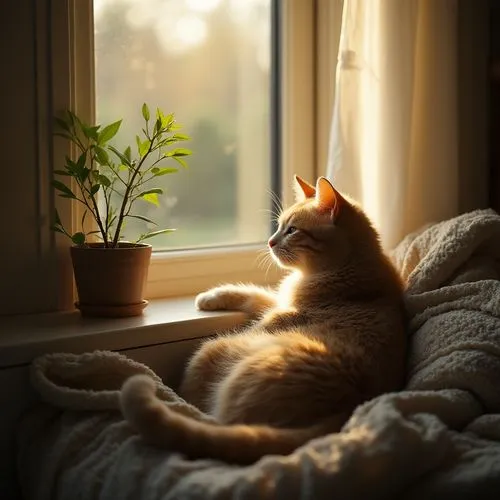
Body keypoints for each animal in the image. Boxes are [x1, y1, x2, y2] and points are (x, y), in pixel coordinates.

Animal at [121, 176, 406, 464]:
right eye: (279, 227)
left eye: (292, 231)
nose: (270, 242)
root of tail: (347, 411)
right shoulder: (279, 300)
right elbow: (253, 294)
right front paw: (211, 297)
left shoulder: (279, 315)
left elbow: (259, 317)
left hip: (213, 351)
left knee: (209, 416)